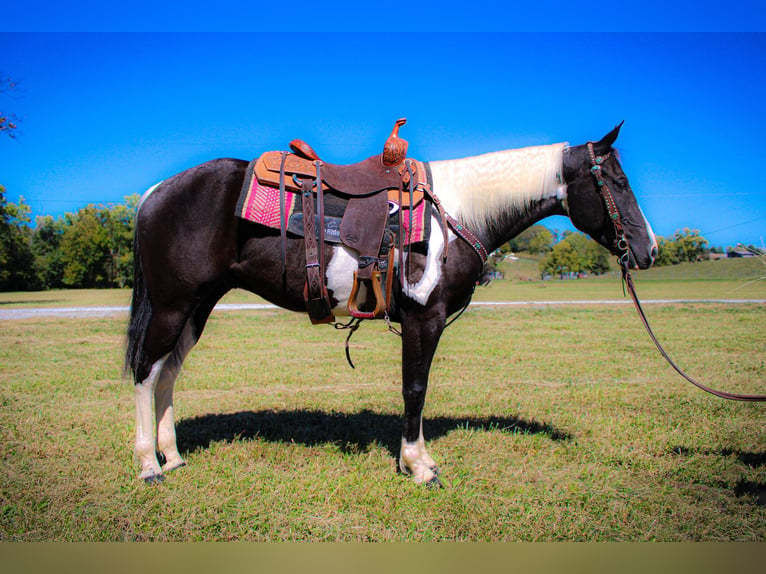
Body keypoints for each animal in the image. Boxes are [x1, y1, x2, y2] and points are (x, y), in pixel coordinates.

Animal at [126, 122, 660, 486]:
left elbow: (416, 389)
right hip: (173, 305)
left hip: (197, 307)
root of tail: (152, 194)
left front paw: (419, 459)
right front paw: (418, 465)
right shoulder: (425, 318)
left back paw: (174, 456)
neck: (455, 213)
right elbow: (415, 388)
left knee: (168, 373)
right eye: (616, 183)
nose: (650, 250)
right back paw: (150, 465)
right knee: (147, 372)